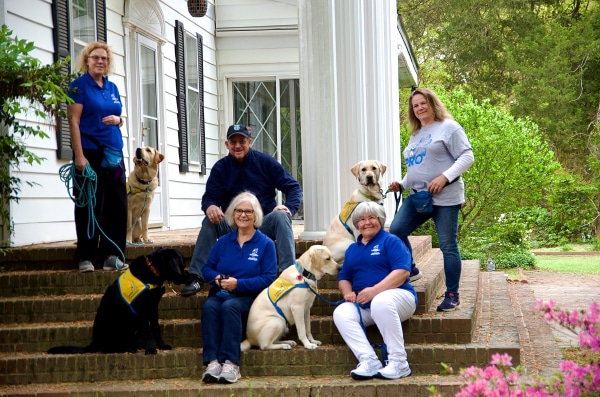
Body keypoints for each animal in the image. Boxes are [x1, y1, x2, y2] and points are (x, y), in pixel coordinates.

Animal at [48, 249, 188, 354]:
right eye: (182, 265)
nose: (188, 276)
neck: (152, 269)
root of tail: (95, 341)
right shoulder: (143, 309)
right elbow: (148, 331)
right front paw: (150, 349)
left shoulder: (153, 307)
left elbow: (156, 328)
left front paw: (161, 345)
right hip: (119, 321)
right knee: (107, 348)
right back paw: (129, 348)